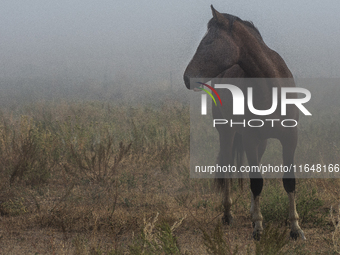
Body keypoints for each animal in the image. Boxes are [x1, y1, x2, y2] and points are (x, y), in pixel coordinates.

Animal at [183, 6, 306, 241]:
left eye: (209, 42)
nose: (187, 77)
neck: (271, 87)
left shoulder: (290, 138)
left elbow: (289, 181)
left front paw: (295, 228)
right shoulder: (249, 138)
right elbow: (256, 182)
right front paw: (258, 227)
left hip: (261, 142)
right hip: (227, 133)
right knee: (229, 169)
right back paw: (228, 214)